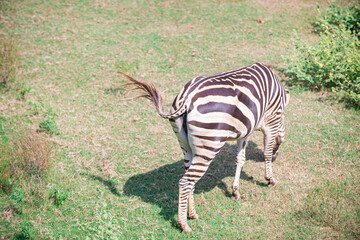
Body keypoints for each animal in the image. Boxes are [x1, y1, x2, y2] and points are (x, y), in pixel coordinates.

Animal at [121, 62, 290, 232]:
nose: (277, 157)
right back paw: (184, 224)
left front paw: (235, 191)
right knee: (185, 182)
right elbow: (266, 152)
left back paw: (192, 214)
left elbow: (240, 159)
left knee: (189, 180)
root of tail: (187, 97)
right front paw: (270, 179)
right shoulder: (271, 121)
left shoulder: (244, 131)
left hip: (187, 147)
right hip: (209, 145)